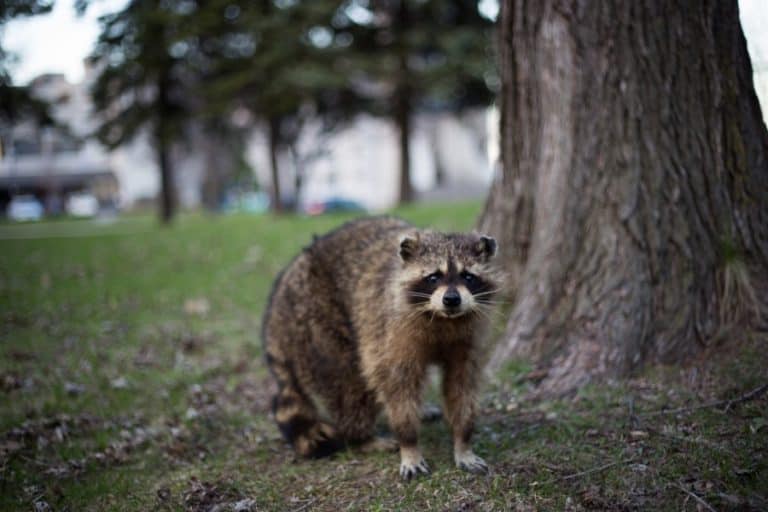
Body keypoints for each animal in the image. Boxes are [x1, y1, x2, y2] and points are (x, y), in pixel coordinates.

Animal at [262, 216, 502, 479]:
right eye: (433, 277)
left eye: (468, 276)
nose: (451, 300)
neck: (443, 318)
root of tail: (280, 297)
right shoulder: (390, 331)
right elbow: (396, 382)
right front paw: (409, 443)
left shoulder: (469, 338)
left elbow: (462, 384)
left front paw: (463, 440)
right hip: (315, 319)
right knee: (348, 383)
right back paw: (362, 437)